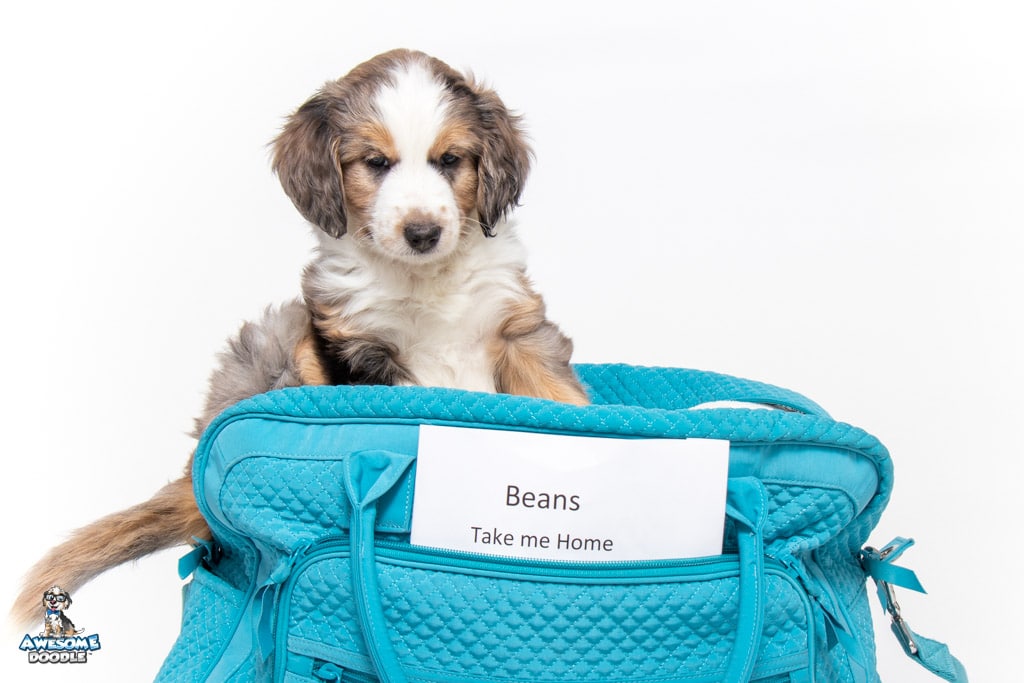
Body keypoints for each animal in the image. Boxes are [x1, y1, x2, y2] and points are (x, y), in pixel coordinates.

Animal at [9, 49, 585, 630]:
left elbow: (561, 399)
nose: (423, 233)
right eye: (376, 163)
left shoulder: (516, 328)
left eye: (449, 160)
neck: (423, 280)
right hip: (281, 346)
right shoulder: (362, 352)